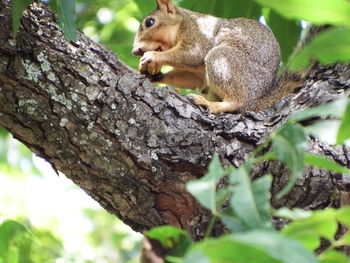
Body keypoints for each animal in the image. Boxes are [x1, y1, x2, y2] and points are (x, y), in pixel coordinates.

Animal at [133, 0, 308, 113]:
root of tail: (256, 99)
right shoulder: (197, 75)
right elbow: (191, 79)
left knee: (237, 102)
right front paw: (154, 74)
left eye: (149, 22)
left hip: (223, 60)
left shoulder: (198, 35)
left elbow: (192, 54)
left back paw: (210, 105)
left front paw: (152, 57)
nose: (135, 51)